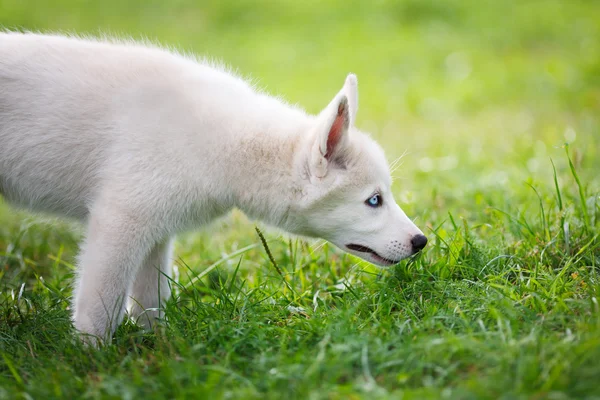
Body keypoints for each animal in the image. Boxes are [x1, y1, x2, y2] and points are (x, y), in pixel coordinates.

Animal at [0, 32, 426, 342]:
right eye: (374, 200)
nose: (421, 241)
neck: (226, 143)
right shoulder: (120, 222)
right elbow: (99, 310)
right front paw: (93, 362)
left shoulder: (155, 232)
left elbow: (150, 302)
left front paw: (158, 348)